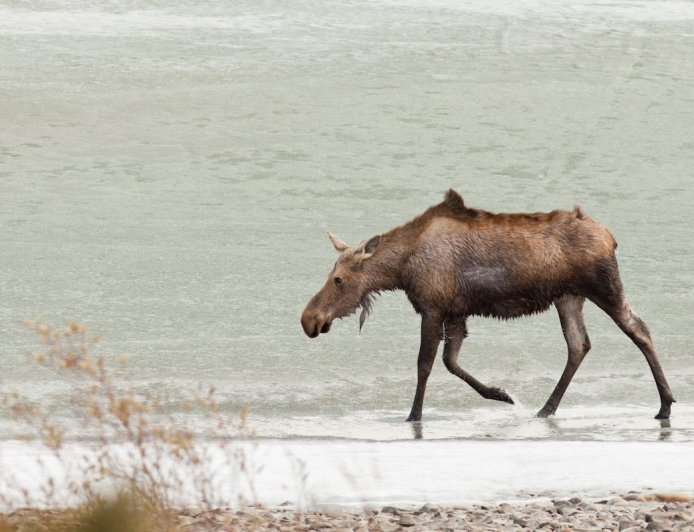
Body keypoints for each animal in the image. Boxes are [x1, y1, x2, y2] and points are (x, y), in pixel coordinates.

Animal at [300, 190, 674, 422]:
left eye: (338, 280)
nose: (309, 319)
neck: (401, 270)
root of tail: (611, 237)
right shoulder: (456, 312)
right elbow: (451, 363)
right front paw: (502, 394)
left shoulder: (433, 308)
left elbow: (425, 365)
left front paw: (413, 415)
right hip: (568, 297)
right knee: (579, 344)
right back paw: (546, 408)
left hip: (604, 286)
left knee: (638, 329)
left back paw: (666, 404)